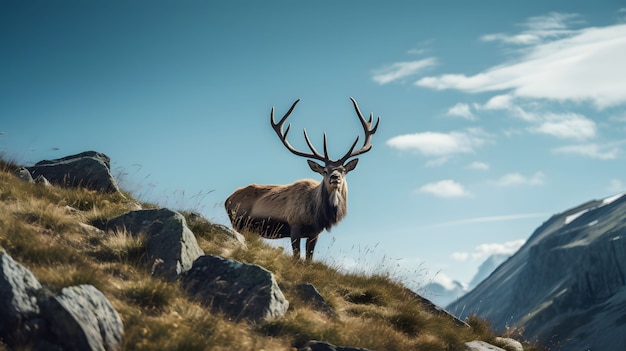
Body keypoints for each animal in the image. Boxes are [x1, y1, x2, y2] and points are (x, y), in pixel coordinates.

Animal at [225, 97, 380, 260]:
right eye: (325, 170)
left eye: (343, 170)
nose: (335, 177)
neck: (317, 214)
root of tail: (228, 199)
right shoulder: (294, 224)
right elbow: (297, 257)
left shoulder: (314, 233)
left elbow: (309, 259)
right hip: (238, 222)